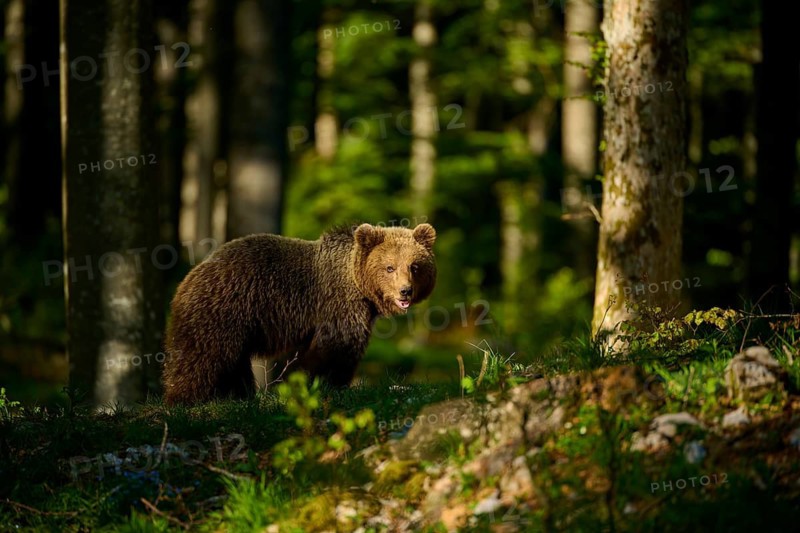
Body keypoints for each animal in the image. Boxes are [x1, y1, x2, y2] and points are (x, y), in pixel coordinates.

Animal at [162, 223, 437, 405]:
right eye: (389, 267)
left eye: (414, 266)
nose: (405, 291)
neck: (359, 286)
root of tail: (188, 278)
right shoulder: (339, 304)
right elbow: (338, 345)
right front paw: (326, 383)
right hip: (222, 312)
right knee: (202, 357)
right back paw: (182, 399)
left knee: (234, 362)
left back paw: (239, 395)